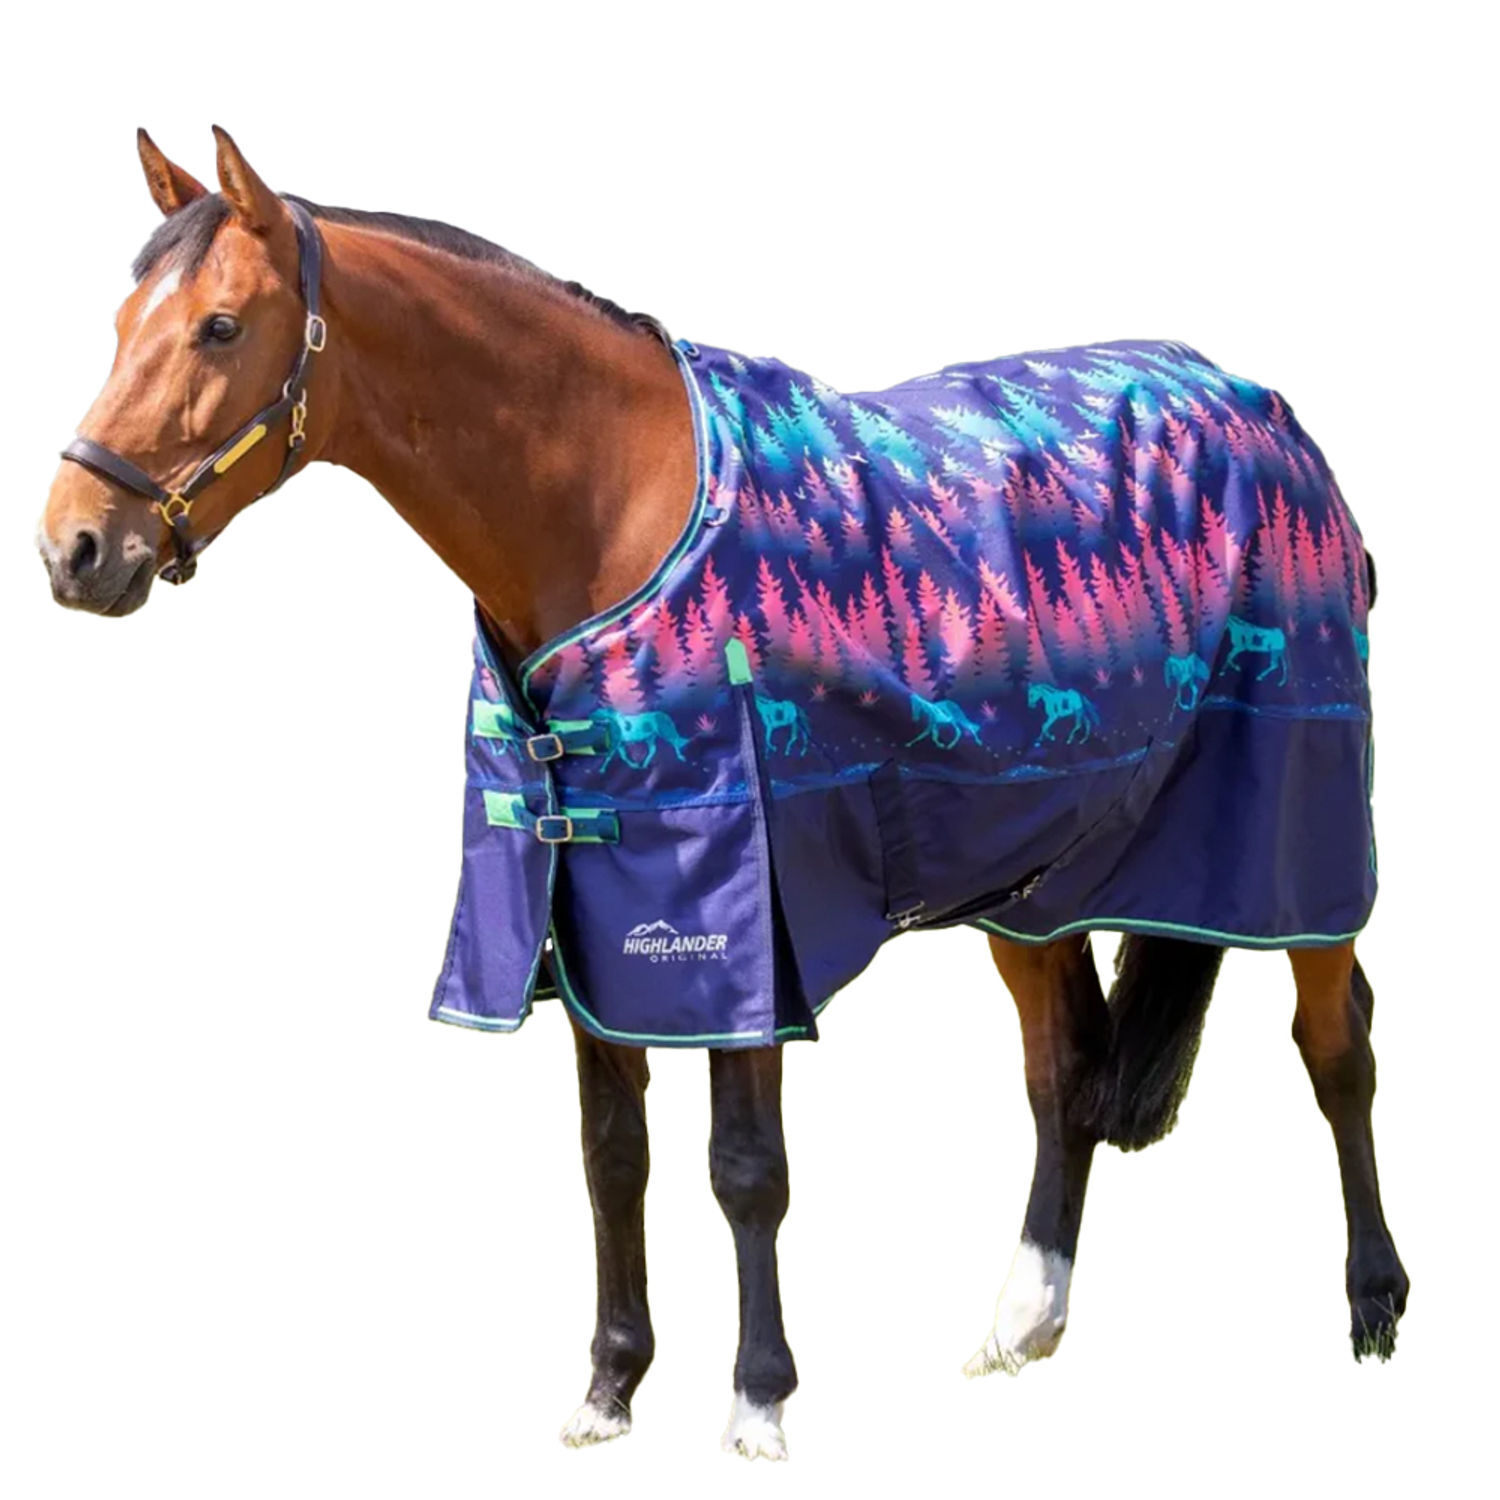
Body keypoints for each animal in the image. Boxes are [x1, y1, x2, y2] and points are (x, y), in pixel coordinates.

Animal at [37, 129, 1407, 1461]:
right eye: (119, 322)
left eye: (220, 326)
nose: (73, 548)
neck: (609, 513)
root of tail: (1272, 417)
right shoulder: (589, 916)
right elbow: (613, 1157)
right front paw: (608, 1387)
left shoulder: (748, 922)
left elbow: (745, 1168)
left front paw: (758, 1401)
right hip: (1039, 875)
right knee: (1064, 1071)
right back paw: (1026, 1317)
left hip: (1303, 847)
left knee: (1336, 1046)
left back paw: (1374, 1305)